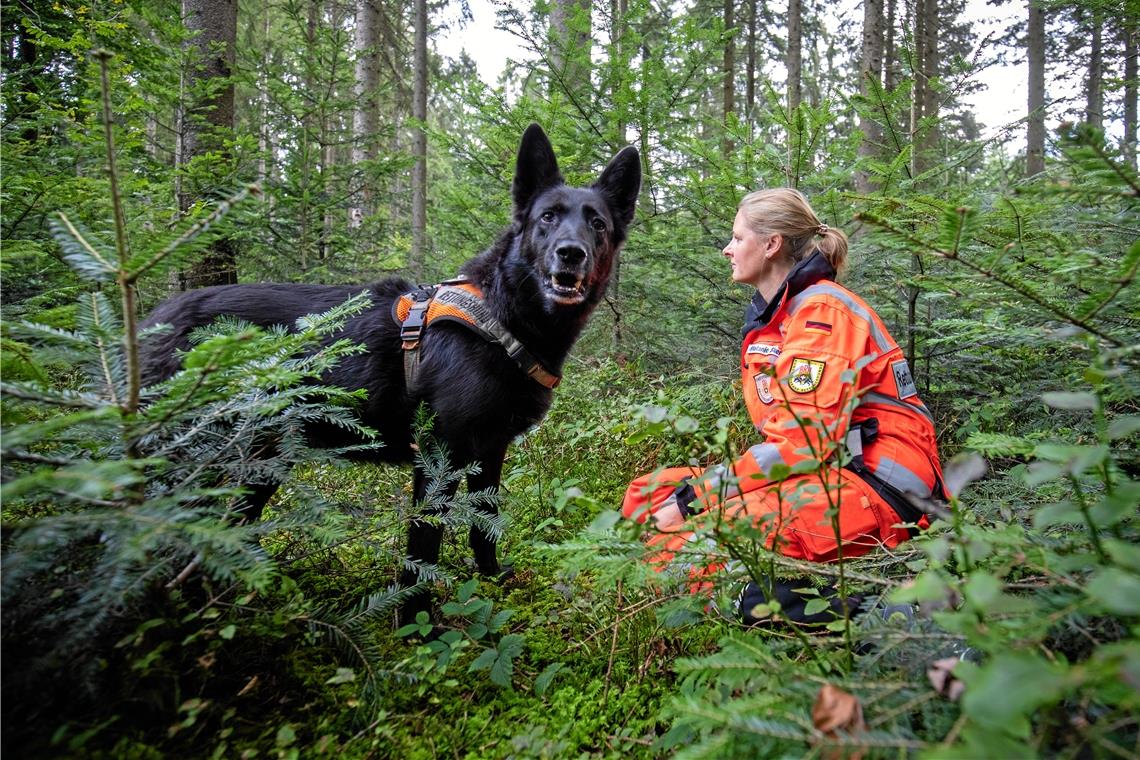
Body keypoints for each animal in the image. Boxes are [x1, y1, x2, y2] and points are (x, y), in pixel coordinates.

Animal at [140, 124, 642, 619]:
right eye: (548, 218)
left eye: (597, 223)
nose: (571, 254)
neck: (504, 315)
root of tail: (151, 320)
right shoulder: (439, 457)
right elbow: (423, 547)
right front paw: (418, 620)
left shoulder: (490, 450)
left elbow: (485, 525)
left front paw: (494, 579)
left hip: (263, 457)